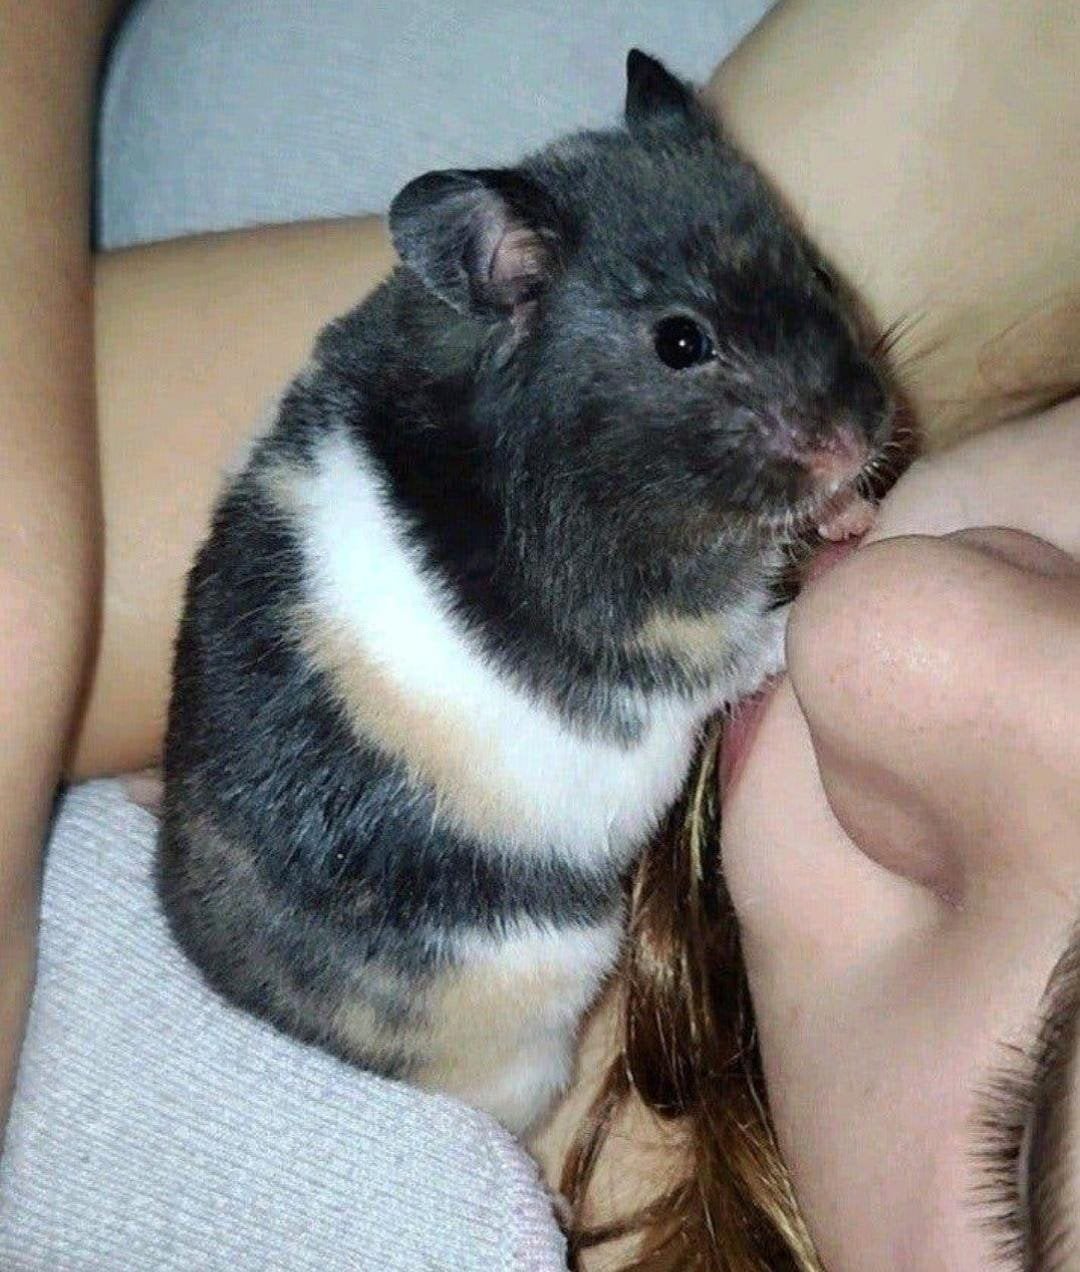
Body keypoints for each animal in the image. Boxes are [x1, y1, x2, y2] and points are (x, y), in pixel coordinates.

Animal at [159, 50, 893, 1134]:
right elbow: (749, 645)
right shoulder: (670, 641)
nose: (861, 437)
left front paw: (850, 514)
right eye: (682, 343)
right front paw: (833, 568)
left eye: (815, 268)